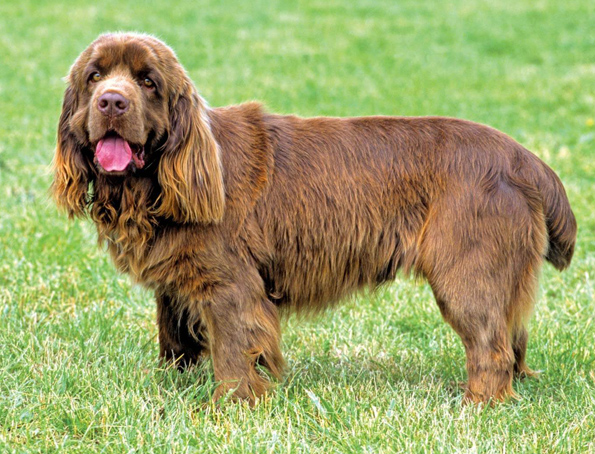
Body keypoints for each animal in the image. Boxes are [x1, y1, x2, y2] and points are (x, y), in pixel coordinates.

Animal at [52, 33, 576, 406]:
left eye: (148, 82)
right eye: (94, 77)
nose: (112, 102)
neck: (152, 185)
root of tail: (524, 158)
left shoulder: (230, 284)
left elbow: (233, 349)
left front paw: (228, 406)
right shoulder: (176, 283)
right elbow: (175, 338)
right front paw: (169, 386)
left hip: (466, 271)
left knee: (490, 346)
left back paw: (476, 405)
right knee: (512, 336)